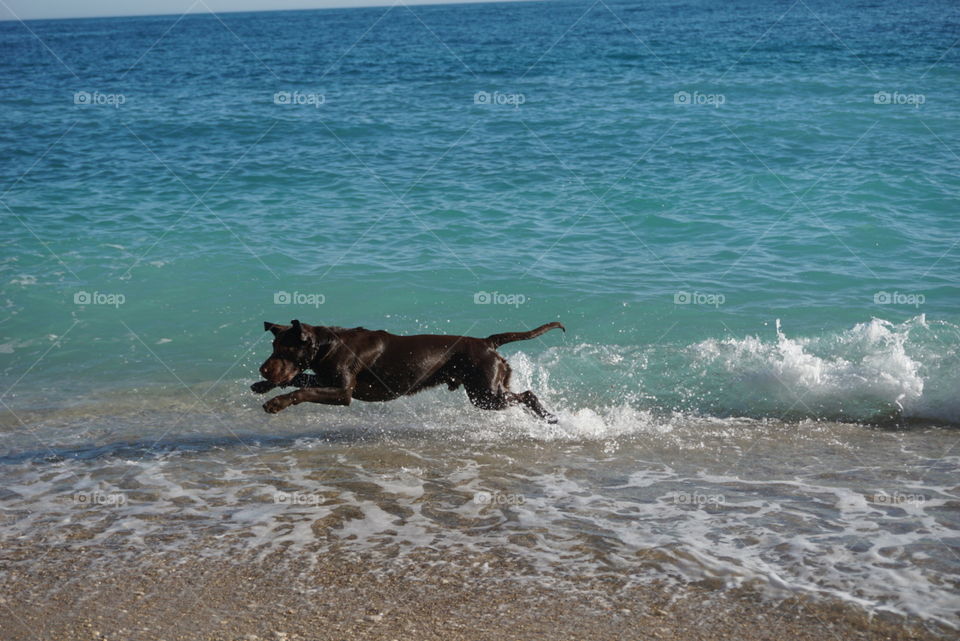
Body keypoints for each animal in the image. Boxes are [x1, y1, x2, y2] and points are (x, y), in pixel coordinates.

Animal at [251, 318, 568, 420]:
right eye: (273, 348)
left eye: (285, 350)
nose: (263, 370)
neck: (328, 345)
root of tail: (487, 342)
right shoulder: (325, 377)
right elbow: (300, 380)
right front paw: (263, 386)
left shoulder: (342, 391)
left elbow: (302, 390)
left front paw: (275, 403)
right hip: (491, 388)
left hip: (485, 393)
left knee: (528, 395)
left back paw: (548, 417)